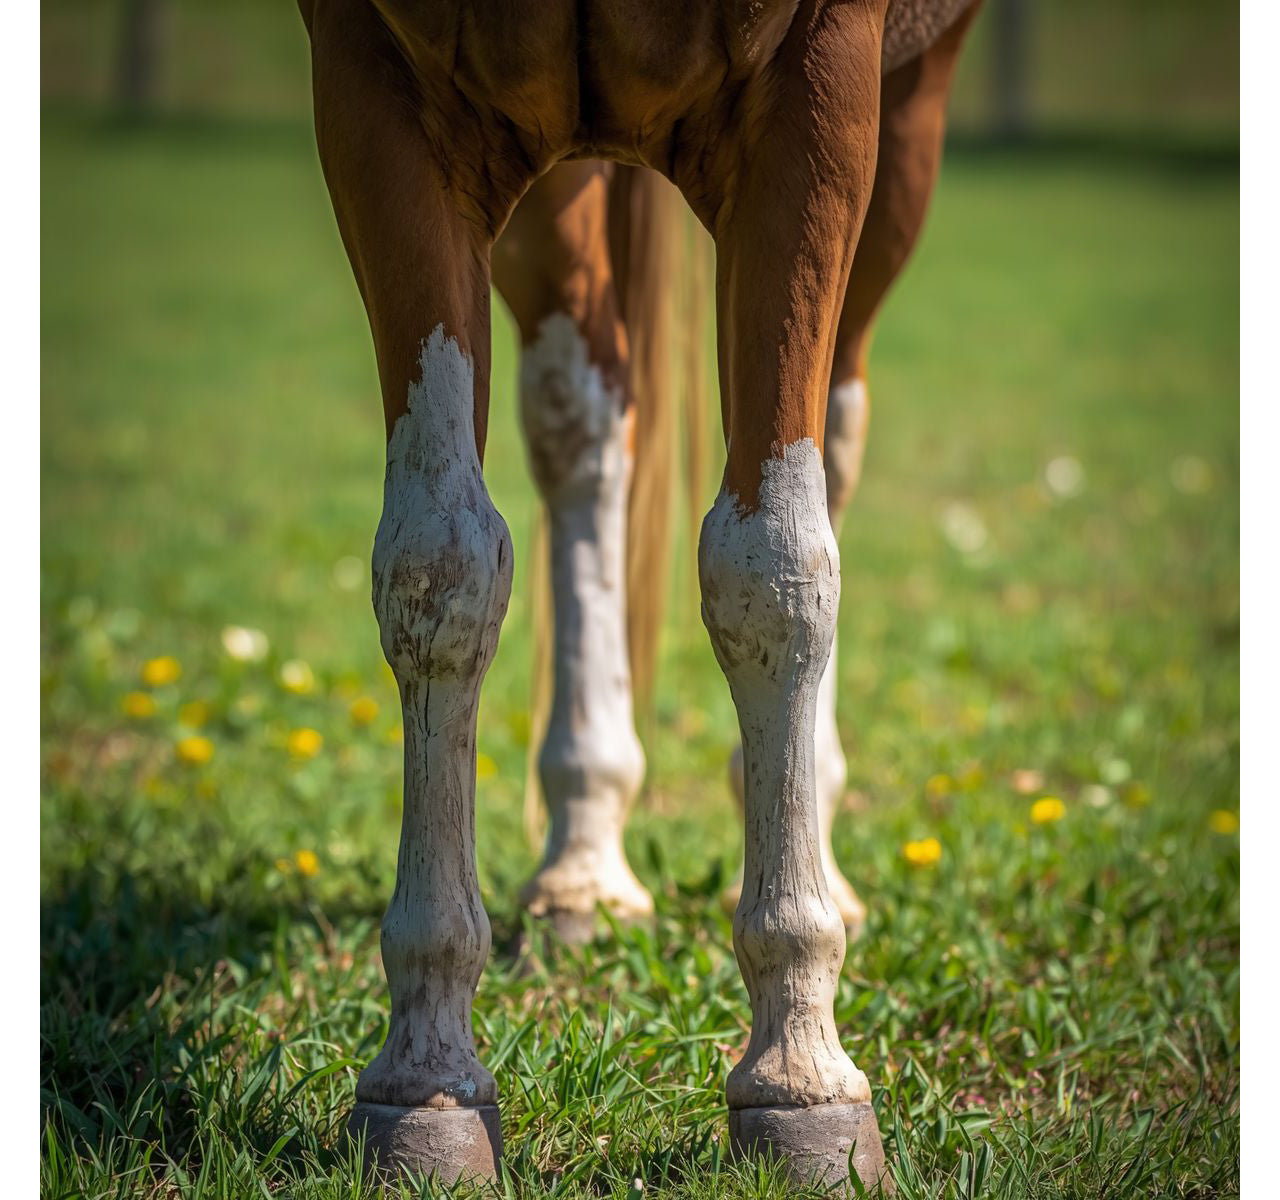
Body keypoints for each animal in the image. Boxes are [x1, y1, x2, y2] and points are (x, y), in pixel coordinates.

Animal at [298, 0, 981, 1188]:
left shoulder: (818, 90)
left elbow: (774, 566)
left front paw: (802, 1073)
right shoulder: (376, 85)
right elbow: (439, 564)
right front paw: (425, 1072)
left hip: (908, 121)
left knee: (836, 430)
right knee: (582, 424)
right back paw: (583, 857)